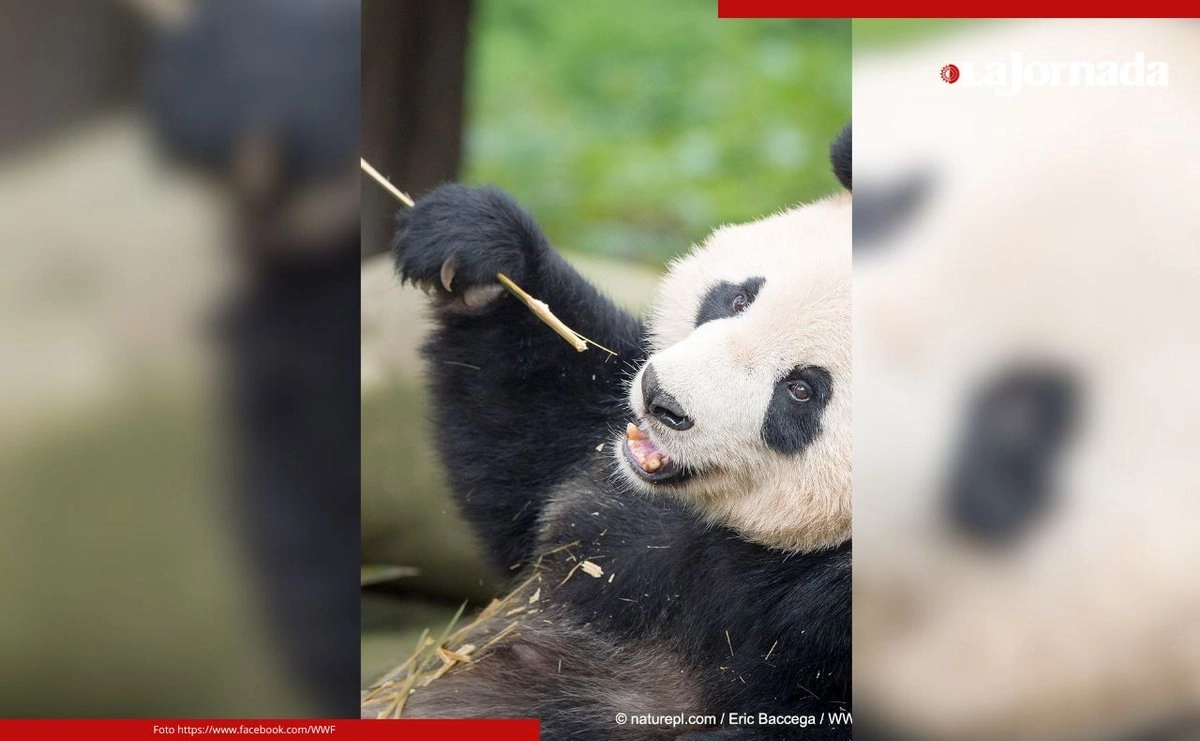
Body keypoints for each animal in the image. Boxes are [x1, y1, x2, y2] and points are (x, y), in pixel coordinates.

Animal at [381, 126, 853, 739]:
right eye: (739, 297)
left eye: (801, 390)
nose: (661, 400)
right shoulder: (603, 493)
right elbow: (534, 436)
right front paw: (475, 246)